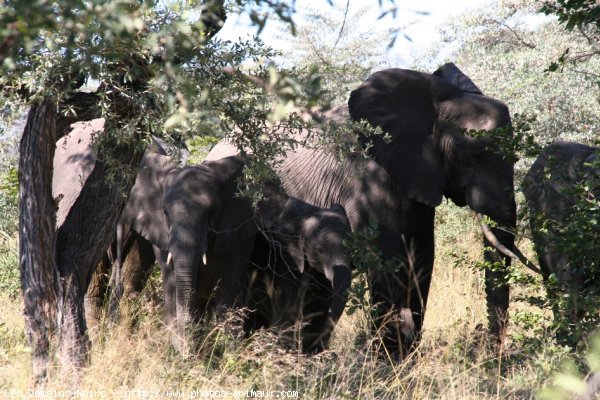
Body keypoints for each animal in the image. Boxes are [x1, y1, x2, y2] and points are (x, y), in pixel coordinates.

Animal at [207, 63, 536, 360]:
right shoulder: (367, 175)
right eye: (476, 155)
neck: (434, 102)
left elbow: (422, 256)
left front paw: (405, 357)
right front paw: (389, 359)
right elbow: (388, 256)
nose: (488, 351)